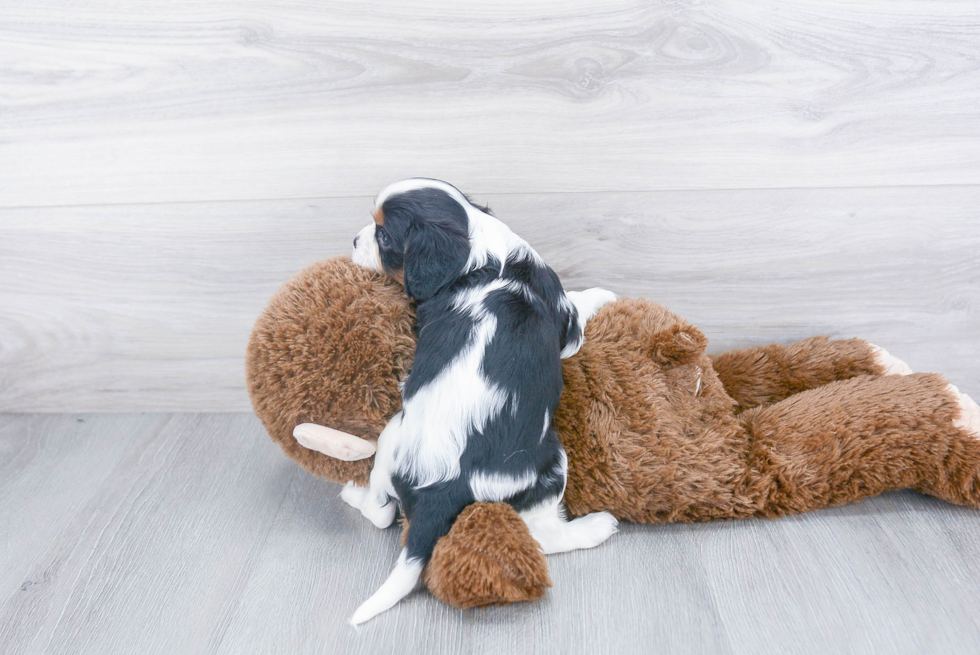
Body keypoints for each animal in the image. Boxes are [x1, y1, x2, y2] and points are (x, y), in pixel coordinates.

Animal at [348, 178, 616, 624]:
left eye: (383, 236)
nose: (353, 240)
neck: (480, 257)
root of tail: (439, 489)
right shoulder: (565, 318)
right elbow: (579, 306)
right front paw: (605, 294)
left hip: (392, 434)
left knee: (381, 510)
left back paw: (353, 495)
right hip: (549, 465)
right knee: (544, 535)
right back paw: (597, 527)